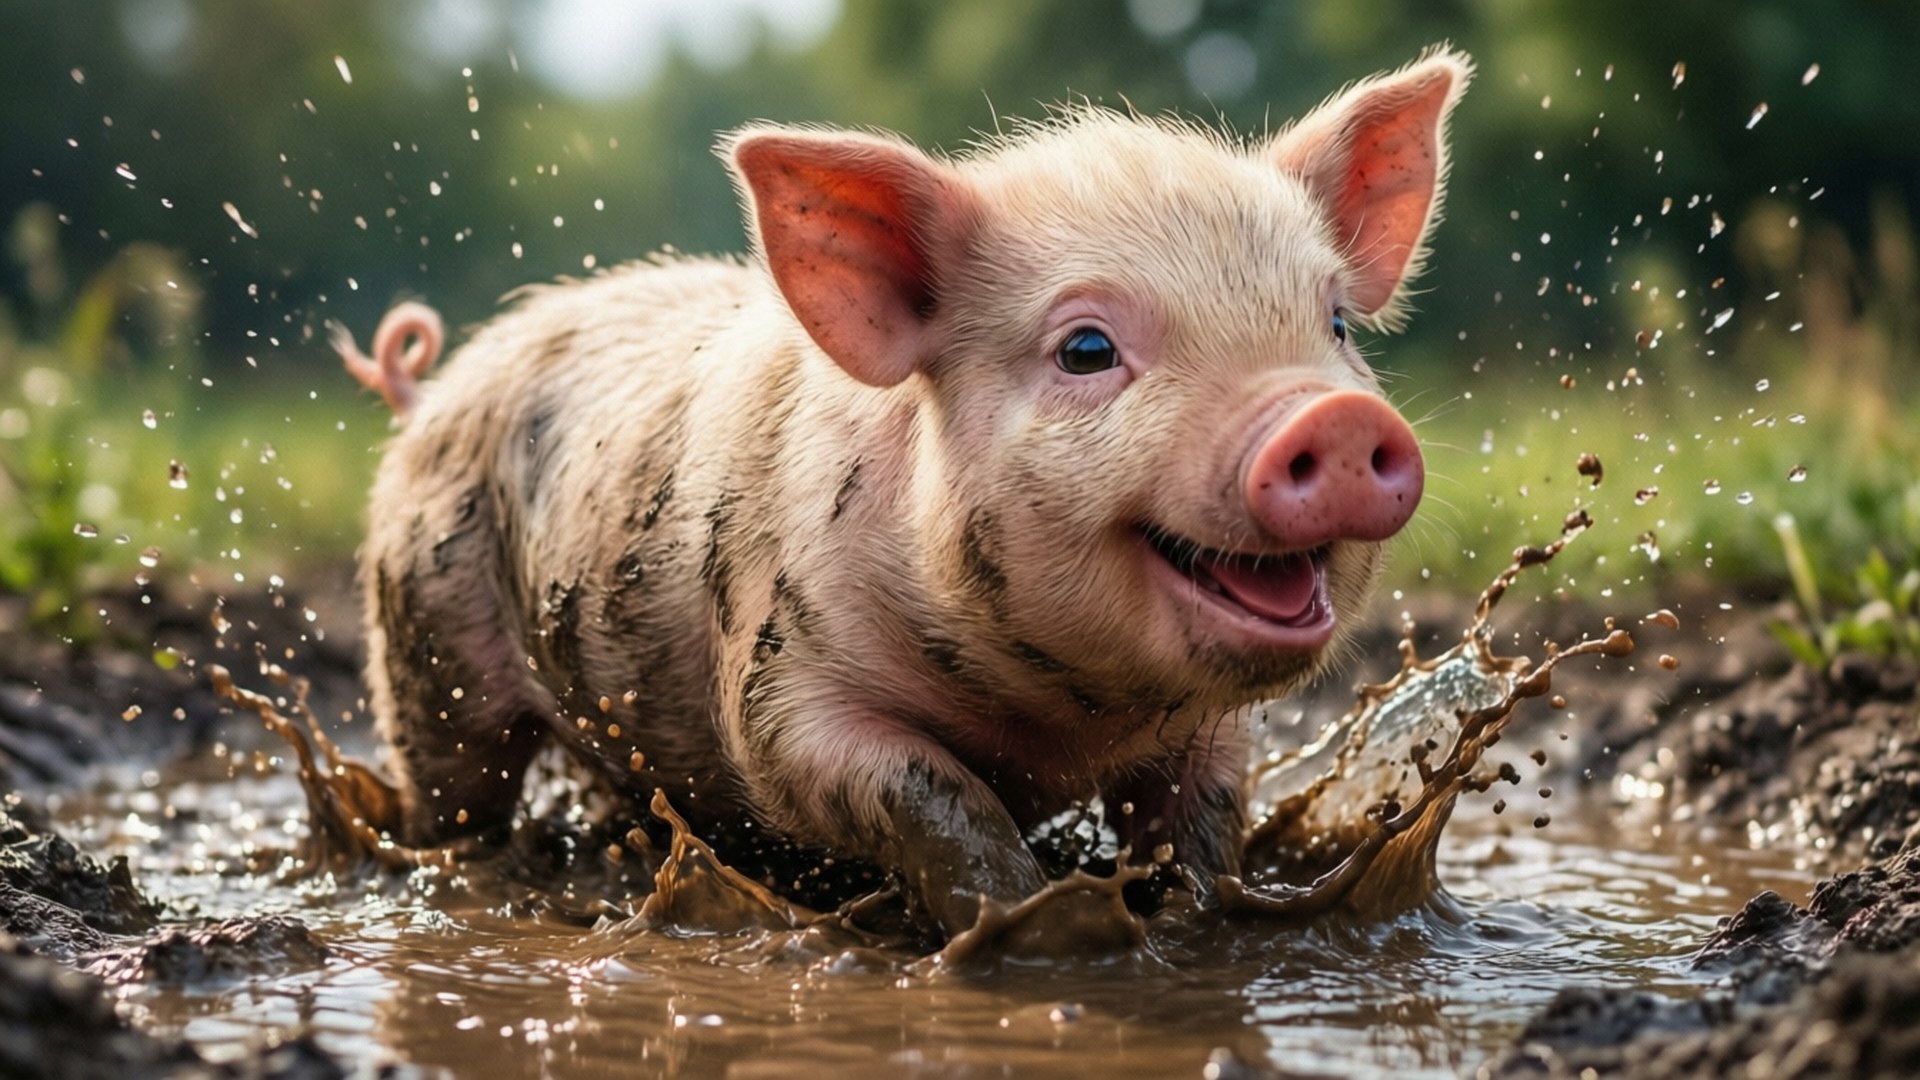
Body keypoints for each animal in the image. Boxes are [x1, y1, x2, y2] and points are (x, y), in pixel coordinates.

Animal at [350, 47, 1469, 937]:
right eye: (1087, 348)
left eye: (1335, 325)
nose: (1335, 417)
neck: (1057, 723)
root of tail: (435, 390)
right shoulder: (781, 681)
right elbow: (927, 789)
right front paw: (1035, 925)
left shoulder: (1206, 731)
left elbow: (1199, 818)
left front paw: (1206, 916)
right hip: (425, 646)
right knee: (455, 793)